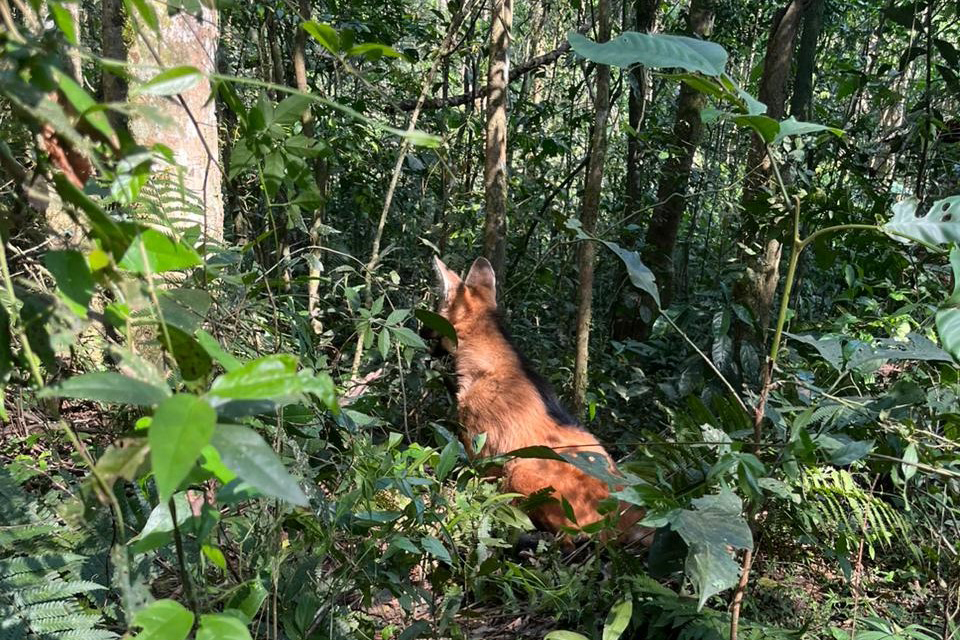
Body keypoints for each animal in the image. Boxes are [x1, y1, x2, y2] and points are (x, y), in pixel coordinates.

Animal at [434, 255, 652, 544]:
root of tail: (631, 512)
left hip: (523, 471)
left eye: (435, 314)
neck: (485, 365)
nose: (422, 333)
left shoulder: (480, 447)